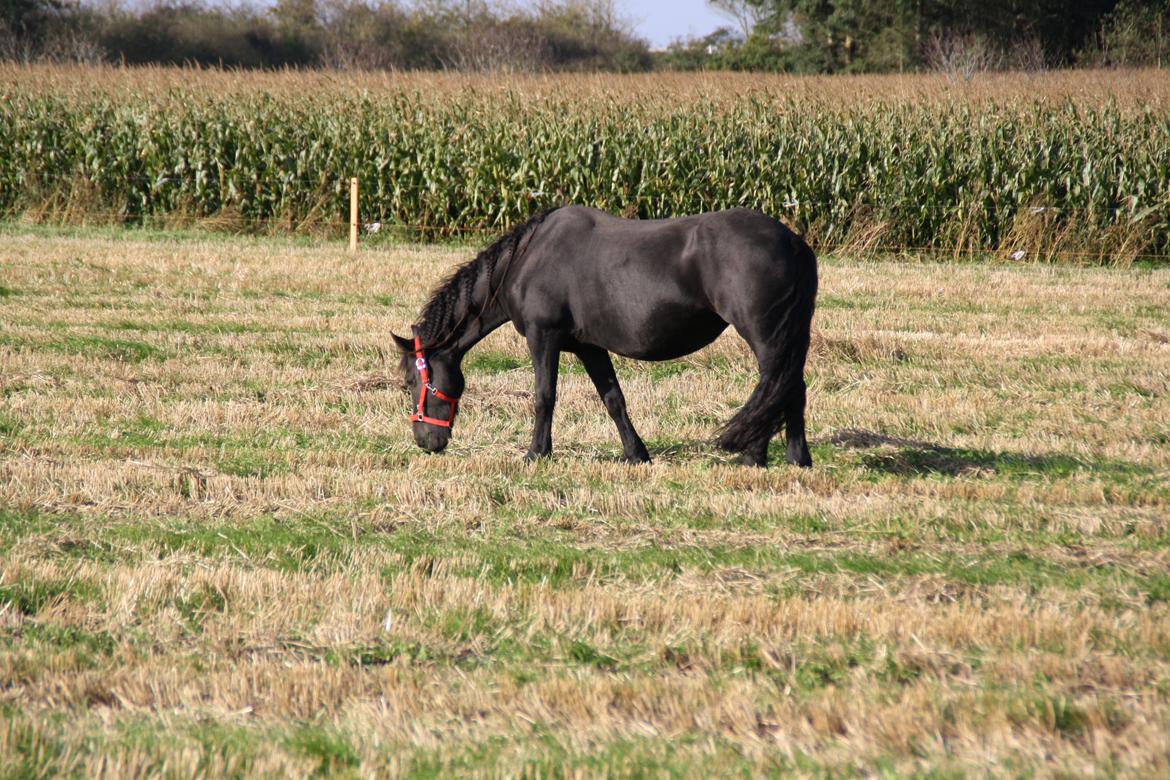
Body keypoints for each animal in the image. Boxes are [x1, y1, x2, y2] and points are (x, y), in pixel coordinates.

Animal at [397, 204, 819, 467]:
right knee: (790, 387)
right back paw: (795, 458)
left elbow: (544, 397)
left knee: (776, 386)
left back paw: (757, 456)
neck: (528, 258)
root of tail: (793, 242)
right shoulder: (590, 347)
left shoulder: (543, 337)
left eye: (412, 382)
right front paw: (636, 454)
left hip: (766, 336)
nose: (425, 441)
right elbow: (614, 399)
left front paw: (536, 454)